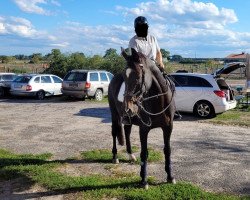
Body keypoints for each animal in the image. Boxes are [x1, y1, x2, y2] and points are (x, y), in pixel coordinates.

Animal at [108, 47, 176, 188]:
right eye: (125, 76)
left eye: (138, 76)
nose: (129, 107)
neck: (159, 102)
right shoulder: (144, 129)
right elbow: (144, 153)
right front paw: (144, 180)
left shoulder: (168, 127)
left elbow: (167, 150)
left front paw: (170, 176)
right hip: (114, 114)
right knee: (114, 132)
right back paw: (115, 157)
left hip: (127, 119)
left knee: (127, 132)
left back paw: (130, 156)